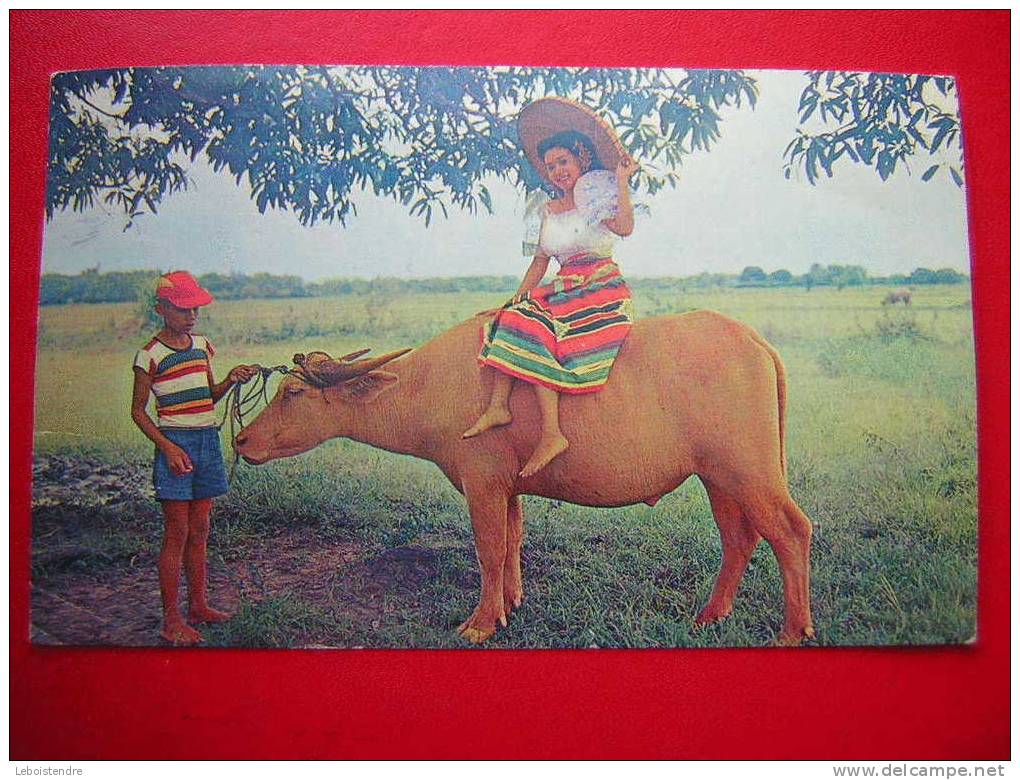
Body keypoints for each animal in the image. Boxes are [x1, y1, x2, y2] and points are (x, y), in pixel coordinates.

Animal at [234, 309, 816, 644]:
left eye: (293, 393)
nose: (241, 442)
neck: (433, 385)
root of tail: (753, 341)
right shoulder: (508, 487)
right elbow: (513, 541)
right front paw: (510, 603)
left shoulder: (482, 483)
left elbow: (489, 549)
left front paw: (480, 623)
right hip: (719, 477)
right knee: (740, 538)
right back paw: (709, 617)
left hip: (751, 471)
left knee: (791, 532)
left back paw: (792, 632)